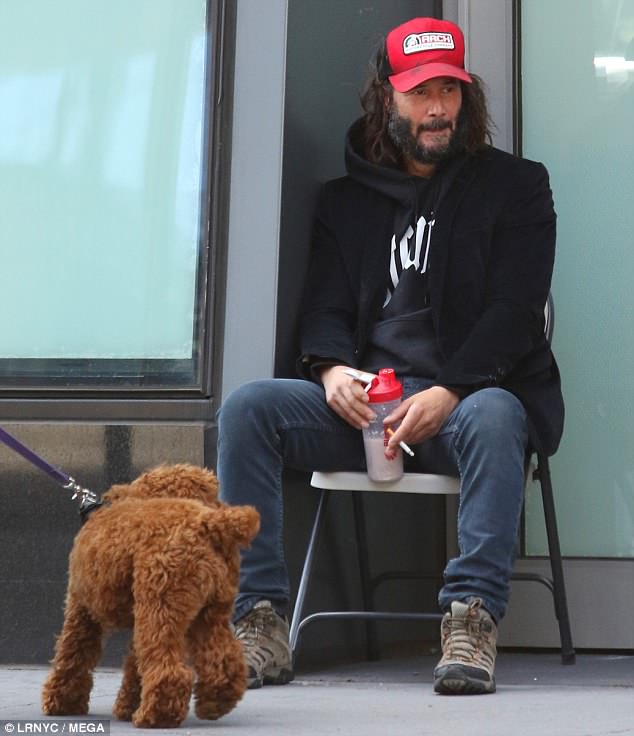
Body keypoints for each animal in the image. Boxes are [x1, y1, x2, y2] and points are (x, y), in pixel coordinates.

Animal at [41, 462, 256, 728]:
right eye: (214, 495)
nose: (223, 504)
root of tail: (208, 523)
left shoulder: (81, 607)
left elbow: (73, 653)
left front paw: (62, 702)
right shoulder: (138, 615)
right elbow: (134, 666)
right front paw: (126, 706)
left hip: (160, 608)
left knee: (169, 671)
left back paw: (154, 715)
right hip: (209, 613)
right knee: (223, 662)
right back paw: (214, 703)